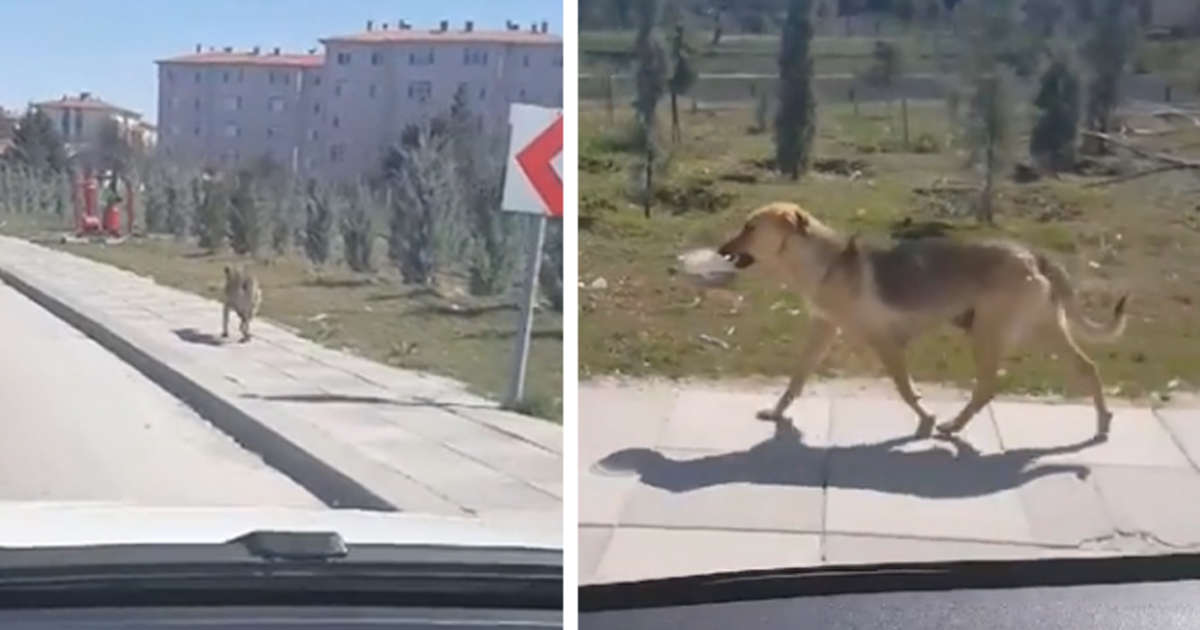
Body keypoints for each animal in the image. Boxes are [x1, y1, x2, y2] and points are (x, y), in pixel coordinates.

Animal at [720, 201, 1123, 436]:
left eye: (750, 227)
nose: (722, 249)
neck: (826, 263)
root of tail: (1031, 254)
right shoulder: (823, 329)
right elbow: (796, 379)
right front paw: (777, 412)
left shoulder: (885, 342)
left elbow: (904, 388)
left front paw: (926, 418)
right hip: (1042, 329)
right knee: (1087, 367)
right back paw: (1102, 422)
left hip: (989, 334)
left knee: (987, 386)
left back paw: (953, 424)